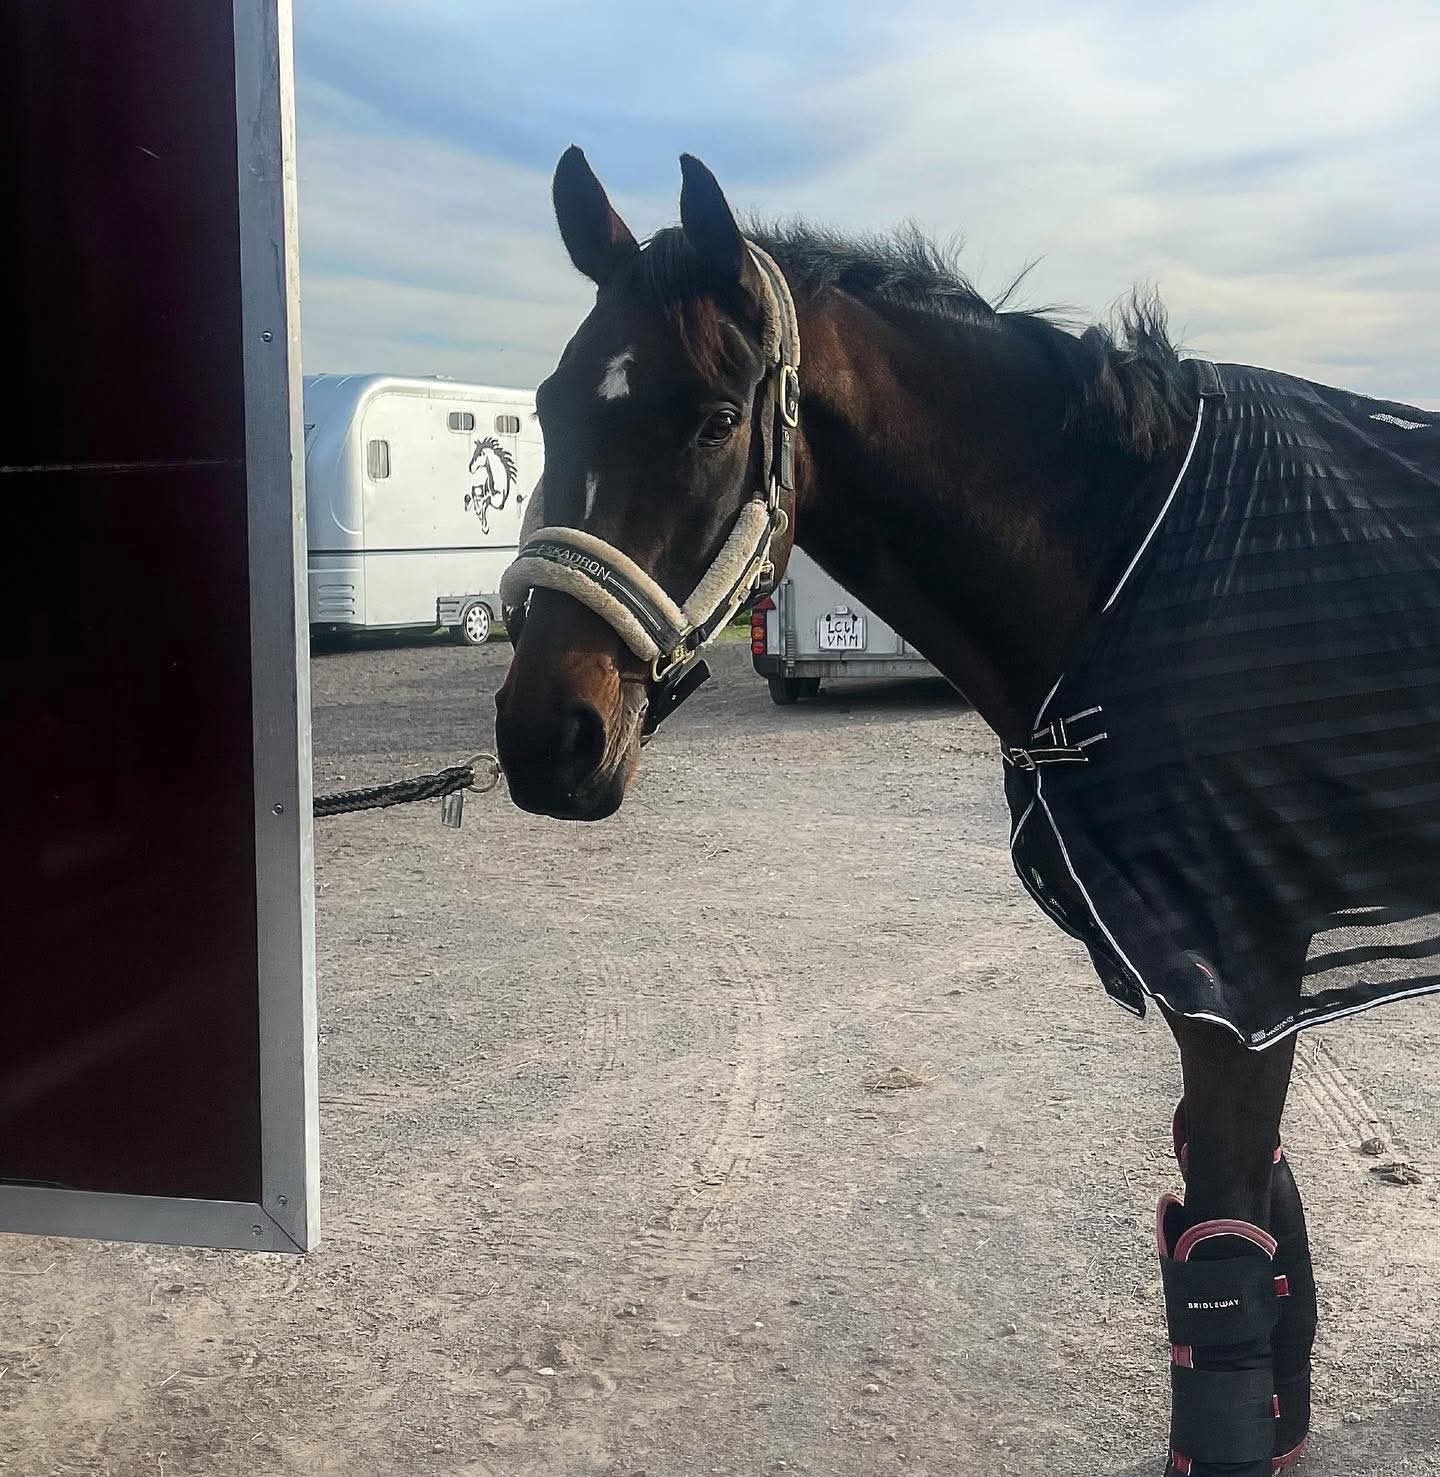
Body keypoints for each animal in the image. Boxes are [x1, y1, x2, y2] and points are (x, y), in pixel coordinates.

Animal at [493, 146, 1440, 1476]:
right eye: (547, 403)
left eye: (717, 417)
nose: (547, 737)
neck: (1130, 562)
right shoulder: (1223, 989)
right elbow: (1249, 1233)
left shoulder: (1241, 978)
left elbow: (1225, 1252)